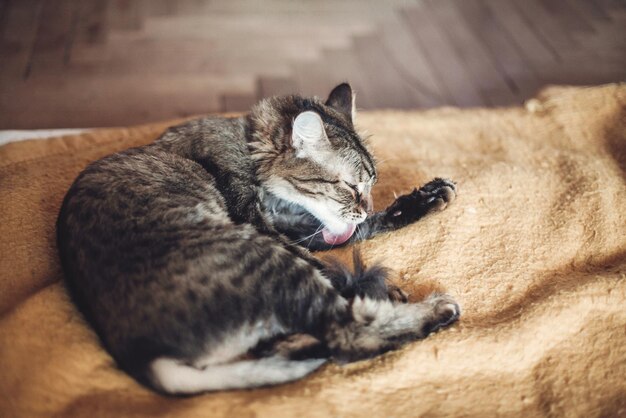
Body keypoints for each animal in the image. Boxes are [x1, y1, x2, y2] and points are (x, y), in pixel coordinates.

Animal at [57, 82, 458, 396]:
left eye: (372, 185)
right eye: (349, 187)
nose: (365, 205)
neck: (248, 146)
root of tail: (141, 360)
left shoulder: (299, 228)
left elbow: (359, 230)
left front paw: (424, 198)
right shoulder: (262, 225)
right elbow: (331, 257)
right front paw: (381, 286)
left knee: (302, 343)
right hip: (262, 257)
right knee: (347, 336)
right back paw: (431, 310)